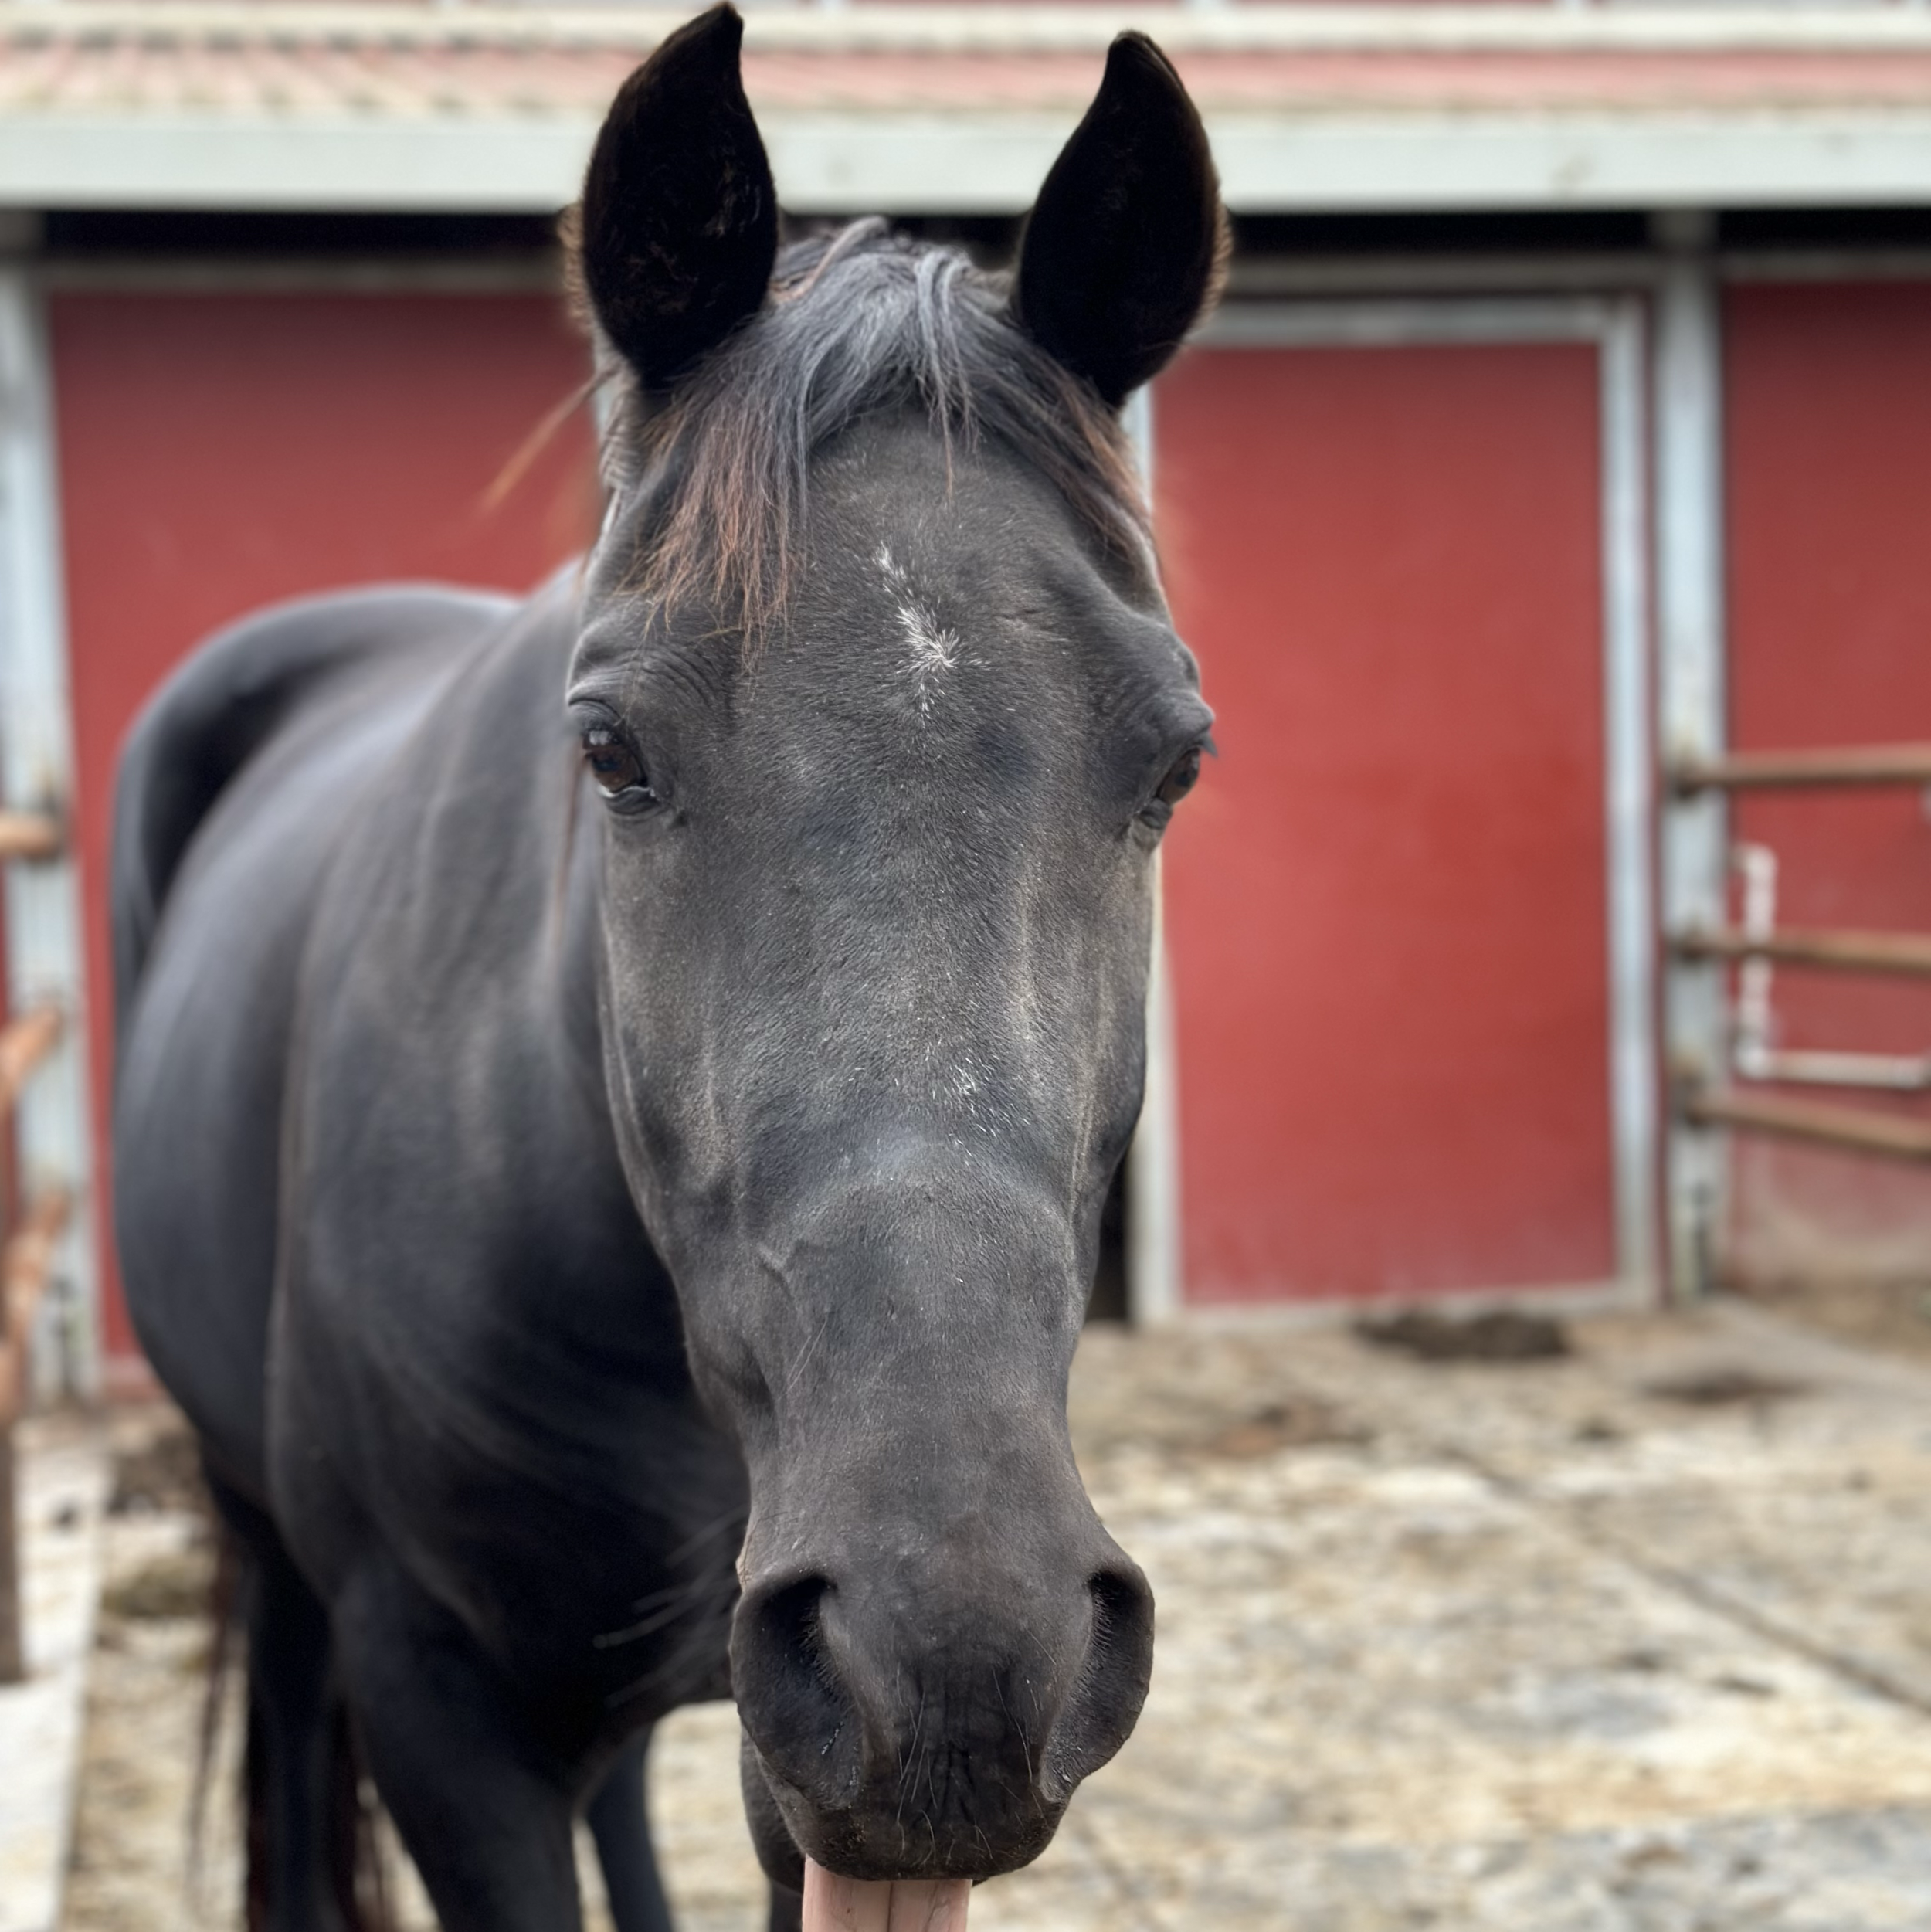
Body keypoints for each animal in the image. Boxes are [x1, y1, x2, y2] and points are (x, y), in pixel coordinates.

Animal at [109, 9, 1224, 1928]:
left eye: (1173, 763)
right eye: (611, 750)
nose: (960, 1638)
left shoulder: (800, 1758)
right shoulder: (440, 1707)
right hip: (279, 1556)